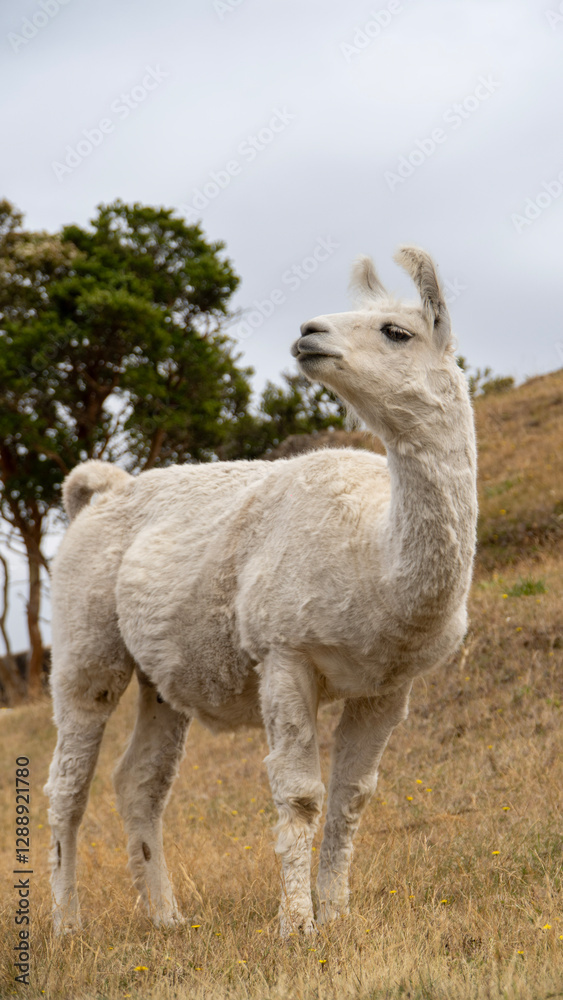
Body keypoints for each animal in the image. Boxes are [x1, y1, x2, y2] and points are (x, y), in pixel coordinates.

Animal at [44, 246, 477, 936]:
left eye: (395, 331)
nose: (308, 332)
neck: (375, 558)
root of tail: (105, 491)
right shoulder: (284, 654)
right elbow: (299, 795)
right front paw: (296, 926)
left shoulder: (388, 684)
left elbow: (352, 796)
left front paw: (336, 917)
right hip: (85, 643)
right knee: (68, 784)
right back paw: (67, 924)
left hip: (162, 675)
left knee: (139, 783)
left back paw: (167, 920)